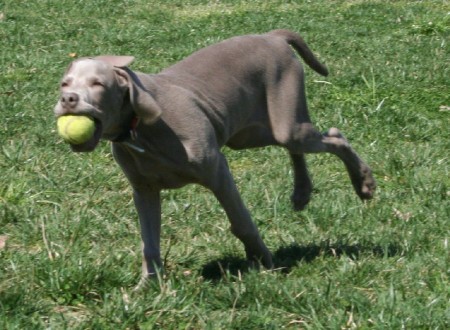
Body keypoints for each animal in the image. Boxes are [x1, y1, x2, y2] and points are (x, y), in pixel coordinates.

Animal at [54, 29, 374, 284]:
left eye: (98, 84)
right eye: (64, 83)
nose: (68, 100)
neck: (137, 130)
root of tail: (272, 35)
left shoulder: (217, 170)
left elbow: (241, 222)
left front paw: (263, 263)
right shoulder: (143, 190)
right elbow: (149, 242)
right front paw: (147, 288)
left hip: (286, 119)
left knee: (334, 137)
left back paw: (364, 183)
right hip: (252, 133)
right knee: (298, 145)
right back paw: (302, 193)